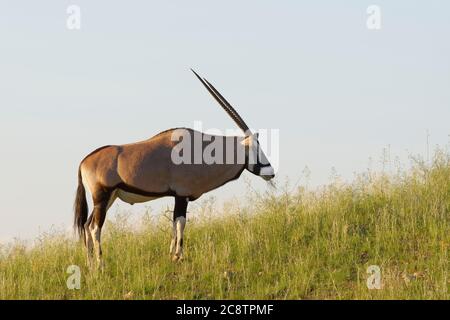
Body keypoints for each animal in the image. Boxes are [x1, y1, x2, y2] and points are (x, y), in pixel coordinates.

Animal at [74, 70, 274, 268]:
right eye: (255, 148)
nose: (270, 172)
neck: (201, 149)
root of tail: (84, 161)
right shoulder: (181, 194)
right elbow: (180, 222)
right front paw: (179, 256)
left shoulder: (178, 196)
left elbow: (174, 224)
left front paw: (171, 254)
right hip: (102, 196)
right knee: (95, 227)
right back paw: (100, 264)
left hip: (109, 197)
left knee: (87, 226)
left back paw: (90, 265)